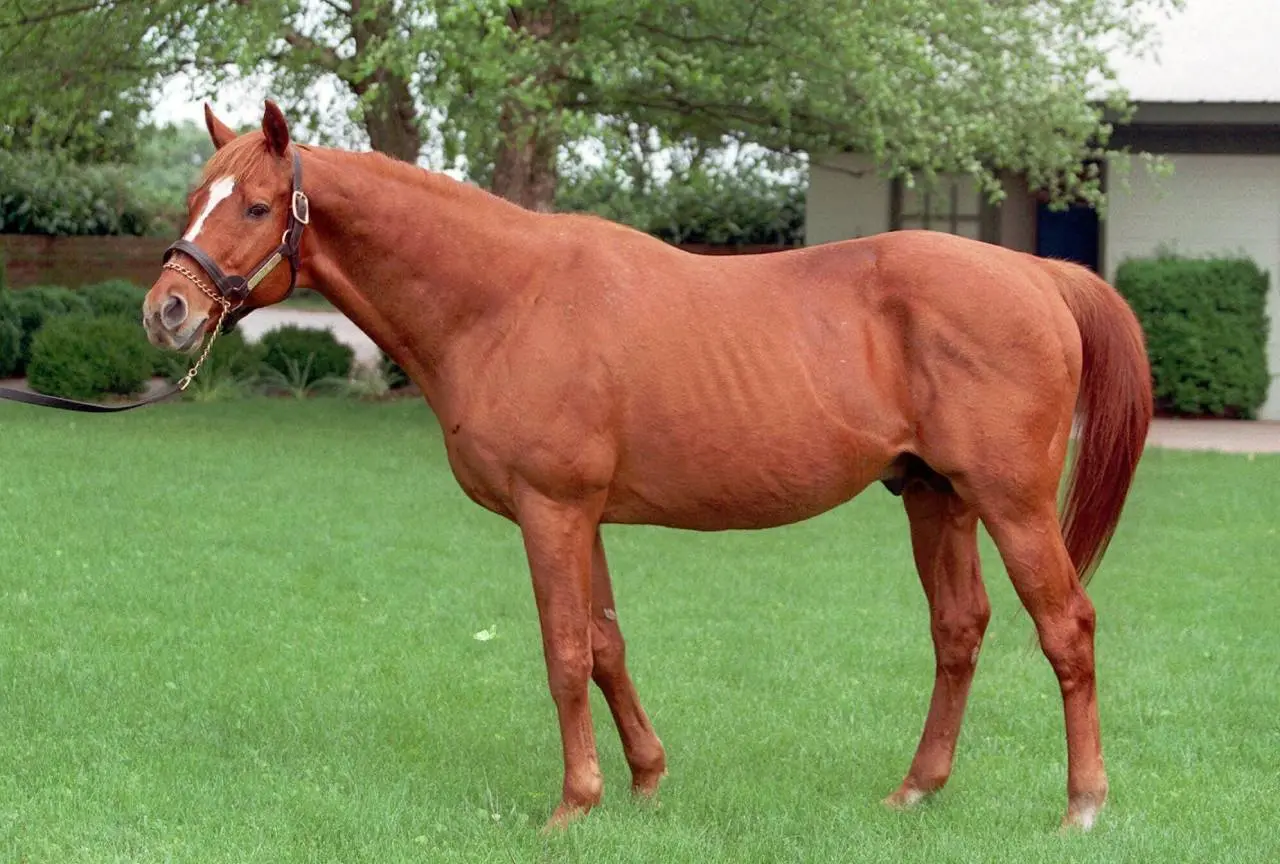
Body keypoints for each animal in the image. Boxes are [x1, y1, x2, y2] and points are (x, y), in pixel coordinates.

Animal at [141, 101, 1152, 833]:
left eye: (256, 207)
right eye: (192, 201)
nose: (167, 313)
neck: (505, 298)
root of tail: (1036, 276)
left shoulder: (551, 509)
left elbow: (563, 652)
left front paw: (573, 804)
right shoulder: (584, 515)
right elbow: (607, 646)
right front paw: (644, 780)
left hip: (1012, 503)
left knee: (1066, 628)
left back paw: (1082, 807)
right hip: (934, 497)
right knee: (958, 630)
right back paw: (917, 790)